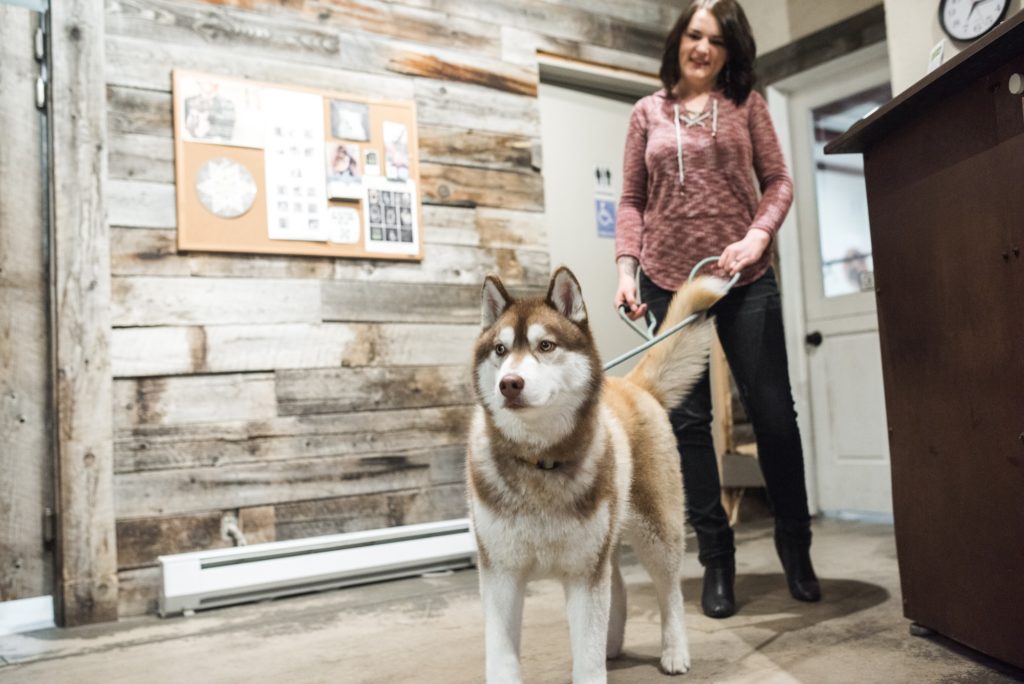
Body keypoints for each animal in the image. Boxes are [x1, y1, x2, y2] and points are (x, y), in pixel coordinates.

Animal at [467, 266, 728, 683]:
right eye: (500, 350)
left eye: (546, 346)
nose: (509, 384)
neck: (540, 461)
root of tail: (634, 384)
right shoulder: (501, 574)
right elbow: (501, 657)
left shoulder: (583, 573)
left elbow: (586, 657)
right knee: (617, 584)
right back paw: (613, 643)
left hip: (657, 535)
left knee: (670, 593)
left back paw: (674, 651)